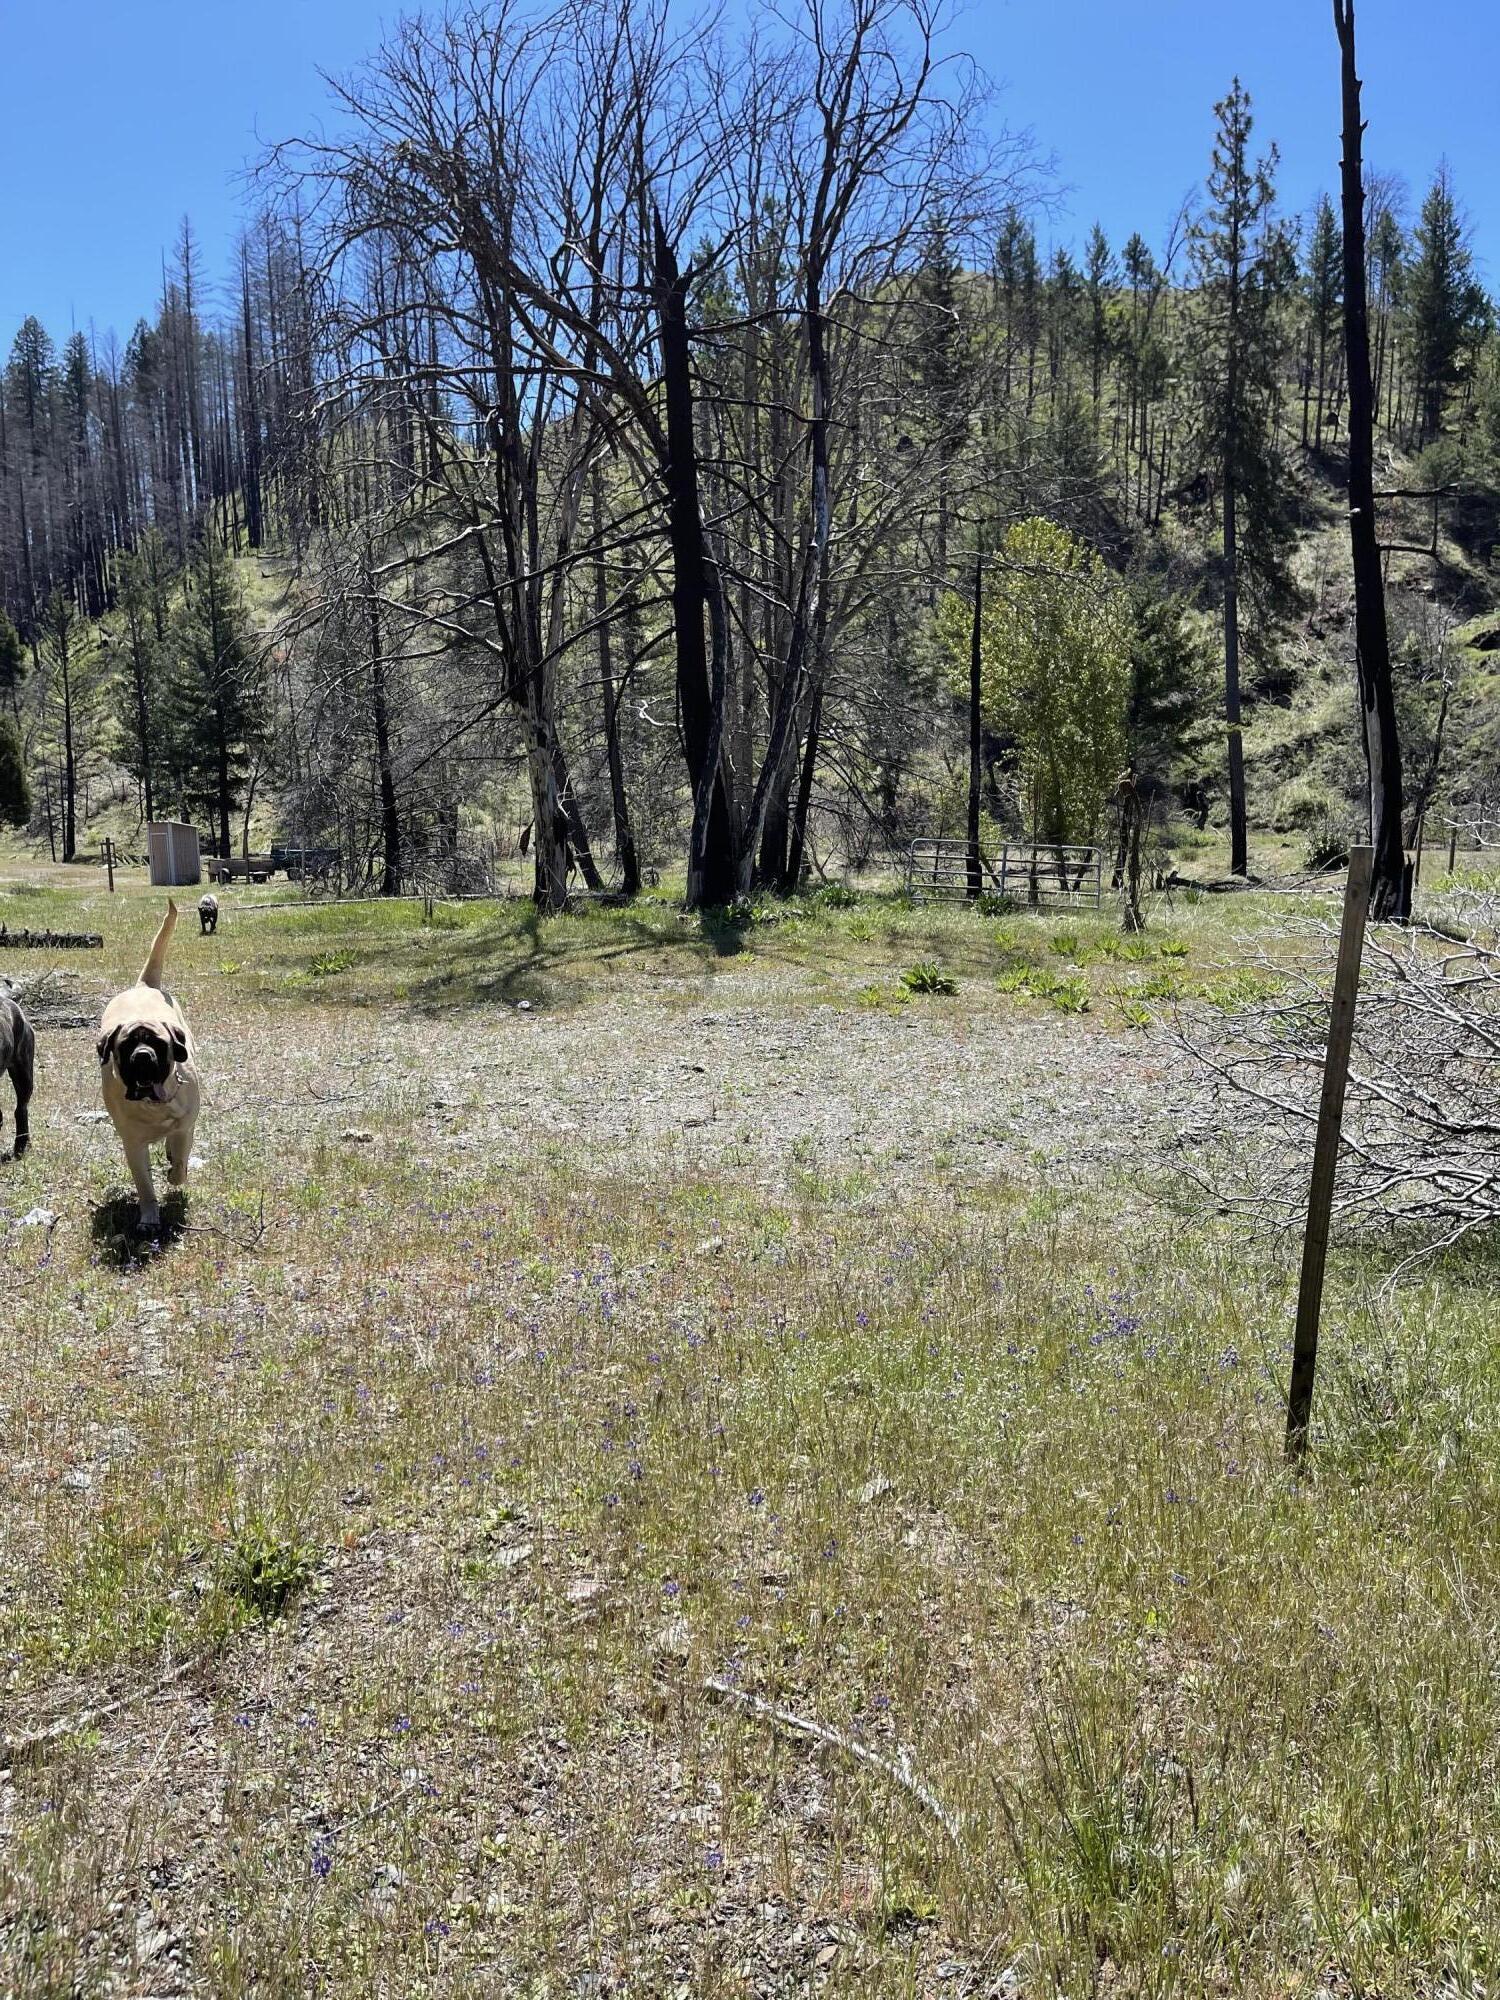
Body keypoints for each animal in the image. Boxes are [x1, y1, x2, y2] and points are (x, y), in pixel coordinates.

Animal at [98, 900, 200, 1233]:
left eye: (158, 1044)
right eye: (126, 1046)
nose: (142, 1056)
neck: (153, 1104)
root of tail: (143, 985)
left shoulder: (185, 1127)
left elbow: (180, 1159)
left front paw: (175, 1174)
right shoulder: (133, 1144)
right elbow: (144, 1185)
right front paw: (149, 1218)